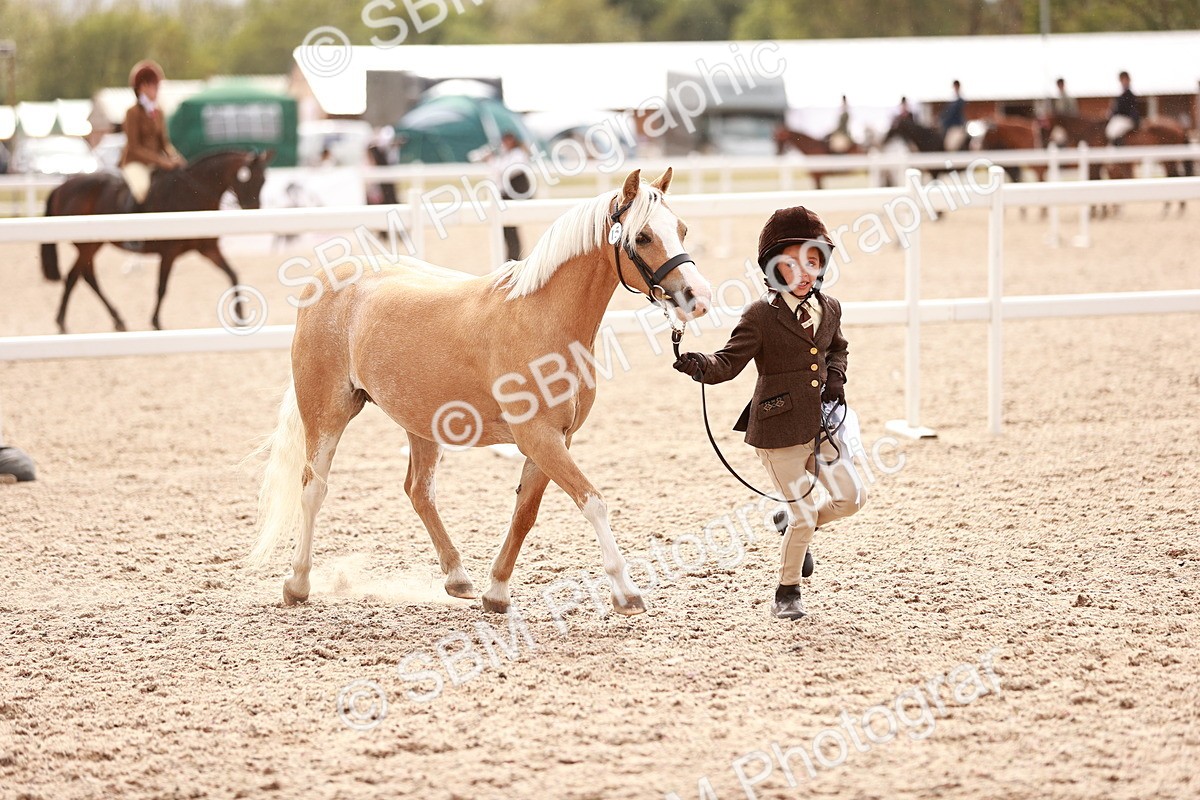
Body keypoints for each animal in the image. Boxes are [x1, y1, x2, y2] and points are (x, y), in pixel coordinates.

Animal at [39, 149, 273, 333]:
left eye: (264, 181)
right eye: (249, 180)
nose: (253, 210)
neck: (193, 194)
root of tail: (61, 187)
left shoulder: (207, 249)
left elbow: (232, 274)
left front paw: (240, 315)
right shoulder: (169, 252)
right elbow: (162, 287)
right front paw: (156, 322)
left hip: (92, 246)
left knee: (86, 277)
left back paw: (116, 319)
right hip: (87, 246)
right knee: (75, 277)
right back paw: (63, 322)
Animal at [246, 168, 714, 617]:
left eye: (683, 228)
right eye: (643, 236)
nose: (698, 297)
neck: (542, 318)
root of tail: (327, 279)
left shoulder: (554, 441)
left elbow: (525, 514)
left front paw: (497, 592)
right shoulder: (539, 437)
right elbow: (593, 502)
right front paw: (626, 592)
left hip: (420, 423)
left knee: (419, 491)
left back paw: (458, 578)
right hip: (327, 413)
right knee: (313, 488)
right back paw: (297, 584)